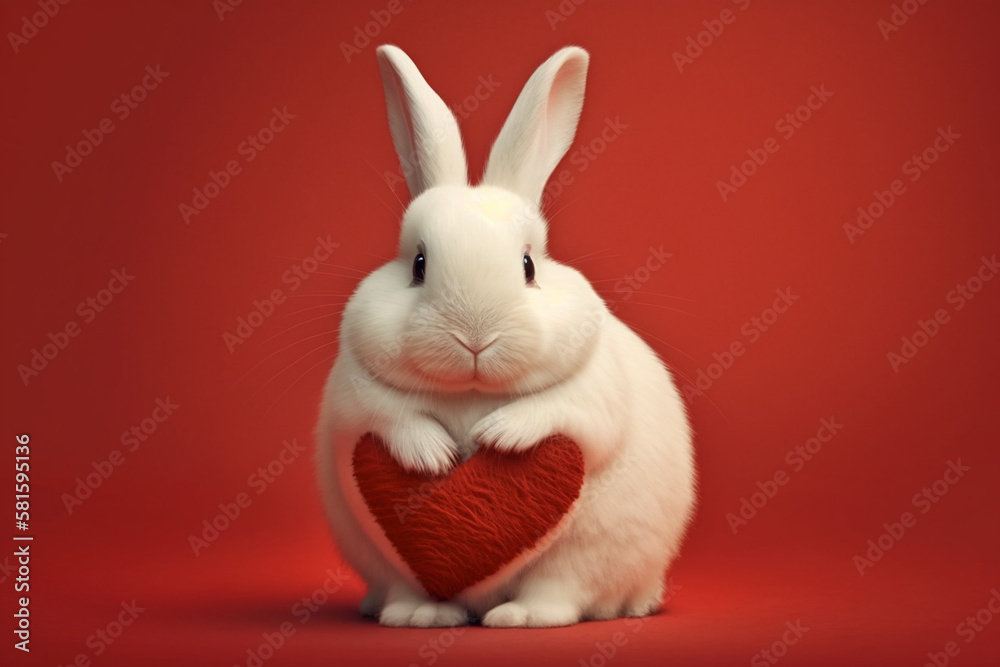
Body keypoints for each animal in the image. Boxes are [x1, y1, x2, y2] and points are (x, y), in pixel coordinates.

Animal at [315, 44, 696, 628]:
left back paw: (520, 616)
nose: (475, 337)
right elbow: (389, 418)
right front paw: (434, 456)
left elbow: (565, 411)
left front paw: (500, 435)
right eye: (419, 265)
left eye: (528, 266)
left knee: (560, 593)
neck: (474, 392)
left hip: (581, 556)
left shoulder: (595, 392)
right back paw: (419, 615)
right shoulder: (354, 398)